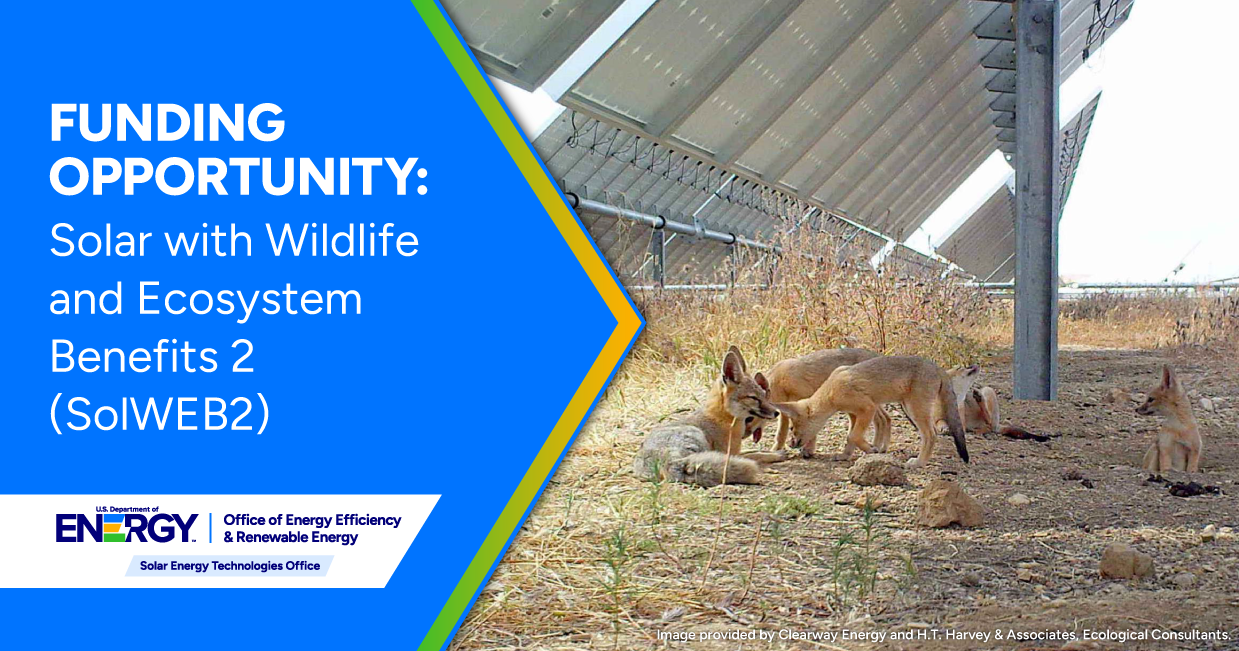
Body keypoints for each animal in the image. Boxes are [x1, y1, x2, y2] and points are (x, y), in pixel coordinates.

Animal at [634, 347, 788, 483]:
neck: (723, 418)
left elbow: (752, 450)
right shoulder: (731, 452)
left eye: (763, 395)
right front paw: (775, 455)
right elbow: (754, 454)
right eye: (754, 398)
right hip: (697, 436)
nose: (776, 412)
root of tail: (668, 461)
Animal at [753, 347, 892, 448]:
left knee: (882, 419)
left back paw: (878, 447)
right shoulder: (786, 410)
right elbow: (781, 434)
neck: (780, 381)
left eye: (752, 416)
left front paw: (808, 450)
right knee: (886, 418)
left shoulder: (805, 401)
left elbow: (809, 431)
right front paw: (776, 450)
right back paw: (881, 447)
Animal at [773, 354, 976, 466]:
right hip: (908, 408)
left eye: (791, 428)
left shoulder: (867, 409)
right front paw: (845, 455)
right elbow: (850, 438)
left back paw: (919, 463)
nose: (791, 444)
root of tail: (937, 366)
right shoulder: (855, 414)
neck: (830, 390)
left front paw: (872, 450)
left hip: (914, 411)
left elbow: (853, 436)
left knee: (931, 435)